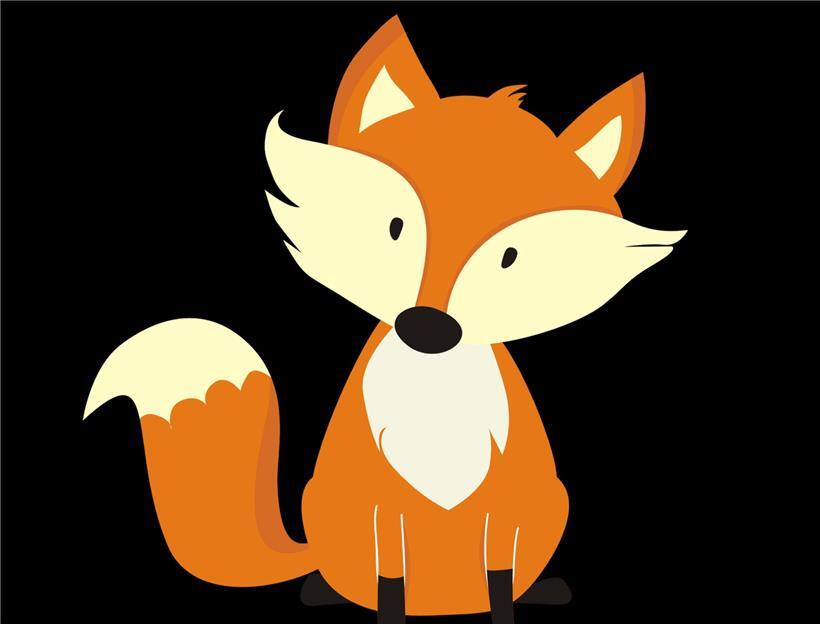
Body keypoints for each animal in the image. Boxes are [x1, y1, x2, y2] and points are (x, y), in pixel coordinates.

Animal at [83, 15, 686, 623]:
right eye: (395, 228)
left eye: (510, 257)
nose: (428, 328)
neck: (436, 397)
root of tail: (444, 605)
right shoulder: (380, 503)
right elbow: (389, 581)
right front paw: (389, 616)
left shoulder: (507, 505)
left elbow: (499, 578)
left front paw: (505, 614)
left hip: (550, 502)